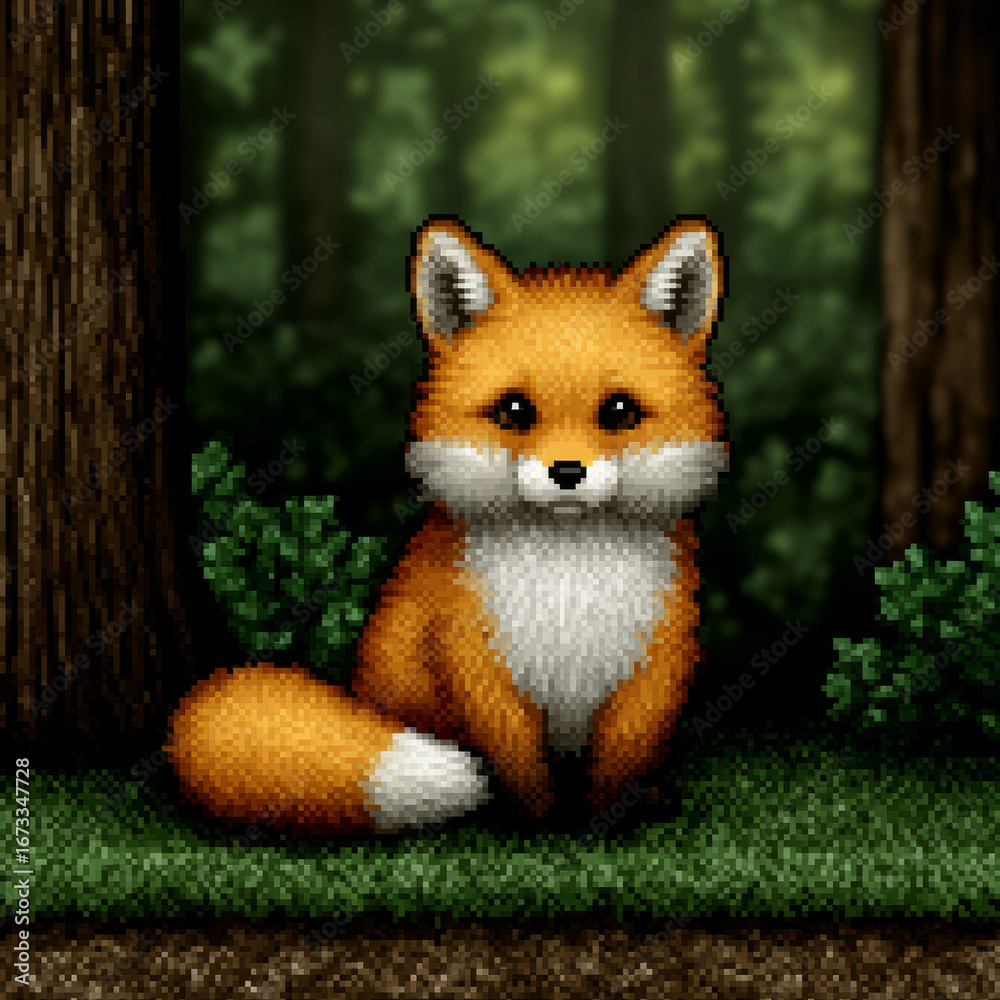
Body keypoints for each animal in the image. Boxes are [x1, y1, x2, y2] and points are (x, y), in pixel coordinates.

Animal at [166, 216, 728, 834]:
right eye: (514, 411)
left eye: (619, 411)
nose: (567, 472)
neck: (567, 572)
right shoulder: (472, 657)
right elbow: (517, 760)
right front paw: (534, 821)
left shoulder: (656, 662)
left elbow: (620, 760)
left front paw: (607, 819)